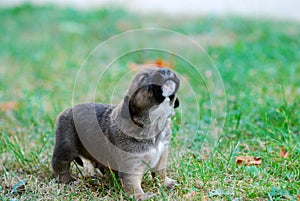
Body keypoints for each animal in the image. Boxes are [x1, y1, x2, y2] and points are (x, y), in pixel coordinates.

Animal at [51, 66, 180, 200]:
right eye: (144, 78)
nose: (165, 70)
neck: (154, 123)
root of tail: (66, 111)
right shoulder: (131, 164)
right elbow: (132, 182)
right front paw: (140, 195)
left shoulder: (162, 155)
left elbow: (160, 172)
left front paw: (166, 183)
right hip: (67, 146)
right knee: (60, 163)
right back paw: (67, 180)